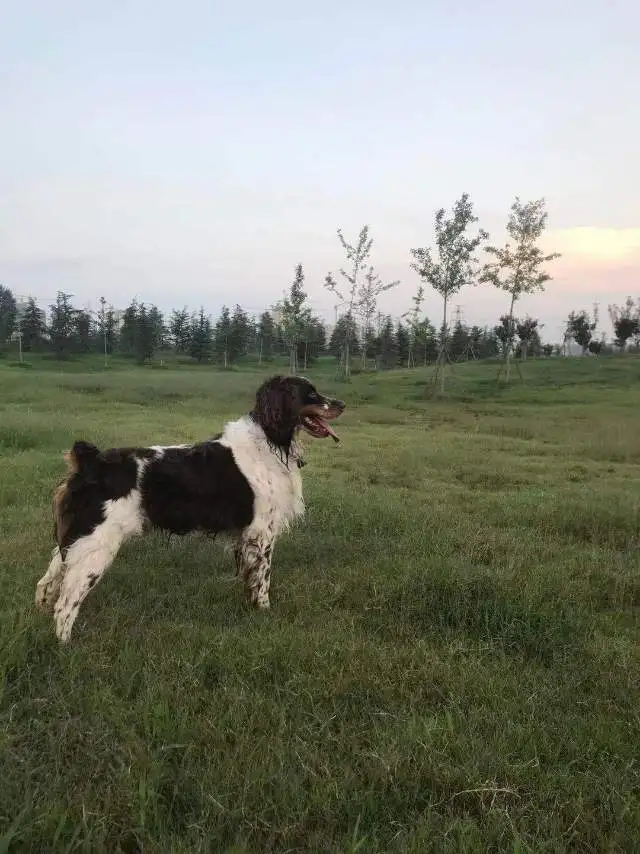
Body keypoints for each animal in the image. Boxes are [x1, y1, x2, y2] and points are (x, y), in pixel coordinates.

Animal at [35, 374, 344, 640]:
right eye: (311, 394)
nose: (342, 404)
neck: (269, 440)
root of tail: (91, 463)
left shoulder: (247, 537)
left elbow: (250, 579)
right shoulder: (261, 534)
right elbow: (262, 580)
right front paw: (264, 613)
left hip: (76, 541)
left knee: (46, 585)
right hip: (97, 546)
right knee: (65, 604)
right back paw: (66, 649)